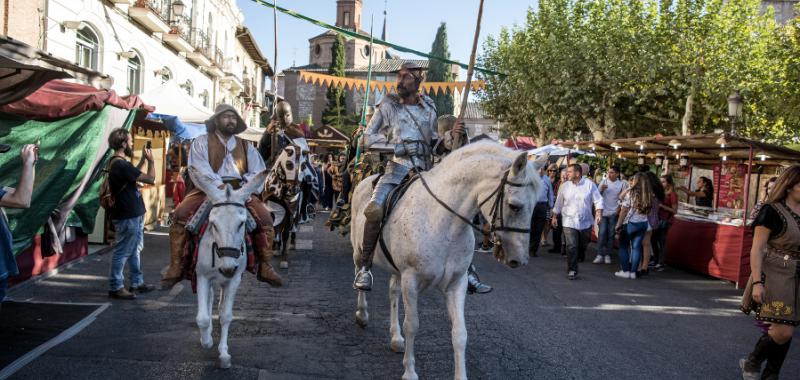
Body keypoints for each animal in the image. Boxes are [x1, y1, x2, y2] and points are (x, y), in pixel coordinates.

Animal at [190, 166, 268, 368]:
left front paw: (224, 354)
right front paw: (207, 341)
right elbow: (202, 318)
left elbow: (225, 315)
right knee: (209, 302)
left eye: (241, 223)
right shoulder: (202, 276)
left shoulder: (234, 279)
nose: (227, 268)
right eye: (213, 224)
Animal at [352, 142, 548, 380]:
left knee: (393, 292)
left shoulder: (457, 284)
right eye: (514, 206)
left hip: (397, 271)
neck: (444, 222)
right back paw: (362, 312)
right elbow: (412, 325)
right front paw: (409, 372)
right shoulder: (411, 279)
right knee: (361, 270)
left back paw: (396, 338)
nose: (519, 259)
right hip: (360, 252)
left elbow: (460, 333)